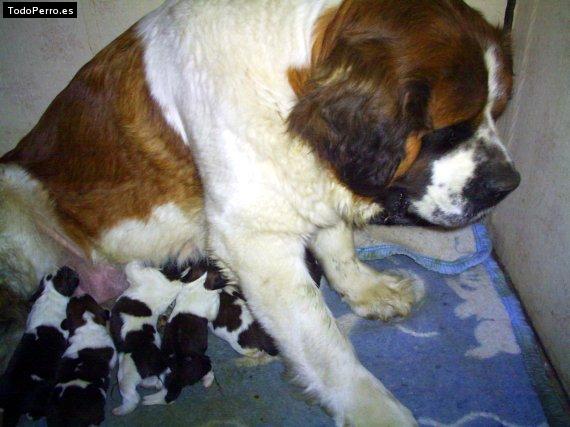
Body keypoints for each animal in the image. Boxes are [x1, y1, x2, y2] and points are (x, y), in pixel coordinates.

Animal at [108, 262, 182, 416]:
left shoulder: (139, 274)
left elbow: (131, 266)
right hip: (157, 371)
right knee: (155, 381)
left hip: (126, 374)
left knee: (133, 396)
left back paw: (120, 410)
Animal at [141, 272, 214, 406]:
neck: (198, 283)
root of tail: (177, 379)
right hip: (204, 361)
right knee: (209, 370)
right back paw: (208, 381)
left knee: (161, 382)